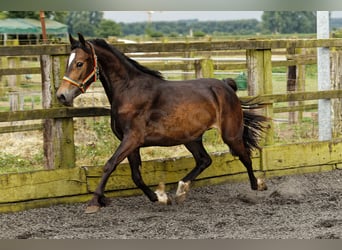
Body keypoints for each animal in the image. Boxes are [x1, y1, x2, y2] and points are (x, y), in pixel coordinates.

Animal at [56, 32, 268, 213]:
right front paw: (159, 197)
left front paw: (94, 202)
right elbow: (136, 175)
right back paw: (180, 191)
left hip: (230, 134)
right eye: (68, 63)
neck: (129, 91)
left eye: (79, 63)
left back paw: (257, 186)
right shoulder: (130, 143)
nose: (61, 95)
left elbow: (110, 164)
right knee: (204, 160)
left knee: (245, 156)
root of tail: (226, 85)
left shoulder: (132, 138)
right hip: (191, 137)